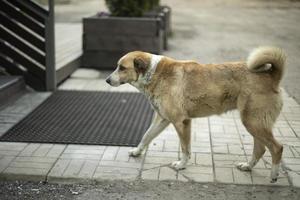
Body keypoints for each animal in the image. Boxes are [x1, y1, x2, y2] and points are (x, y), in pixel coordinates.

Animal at [105, 47, 286, 183]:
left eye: (122, 68)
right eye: (117, 66)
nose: (107, 80)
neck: (155, 73)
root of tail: (271, 76)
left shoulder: (181, 122)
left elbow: (185, 148)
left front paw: (181, 165)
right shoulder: (162, 119)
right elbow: (146, 136)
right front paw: (137, 151)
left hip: (253, 122)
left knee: (277, 148)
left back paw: (273, 175)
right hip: (254, 123)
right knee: (261, 148)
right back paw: (248, 166)